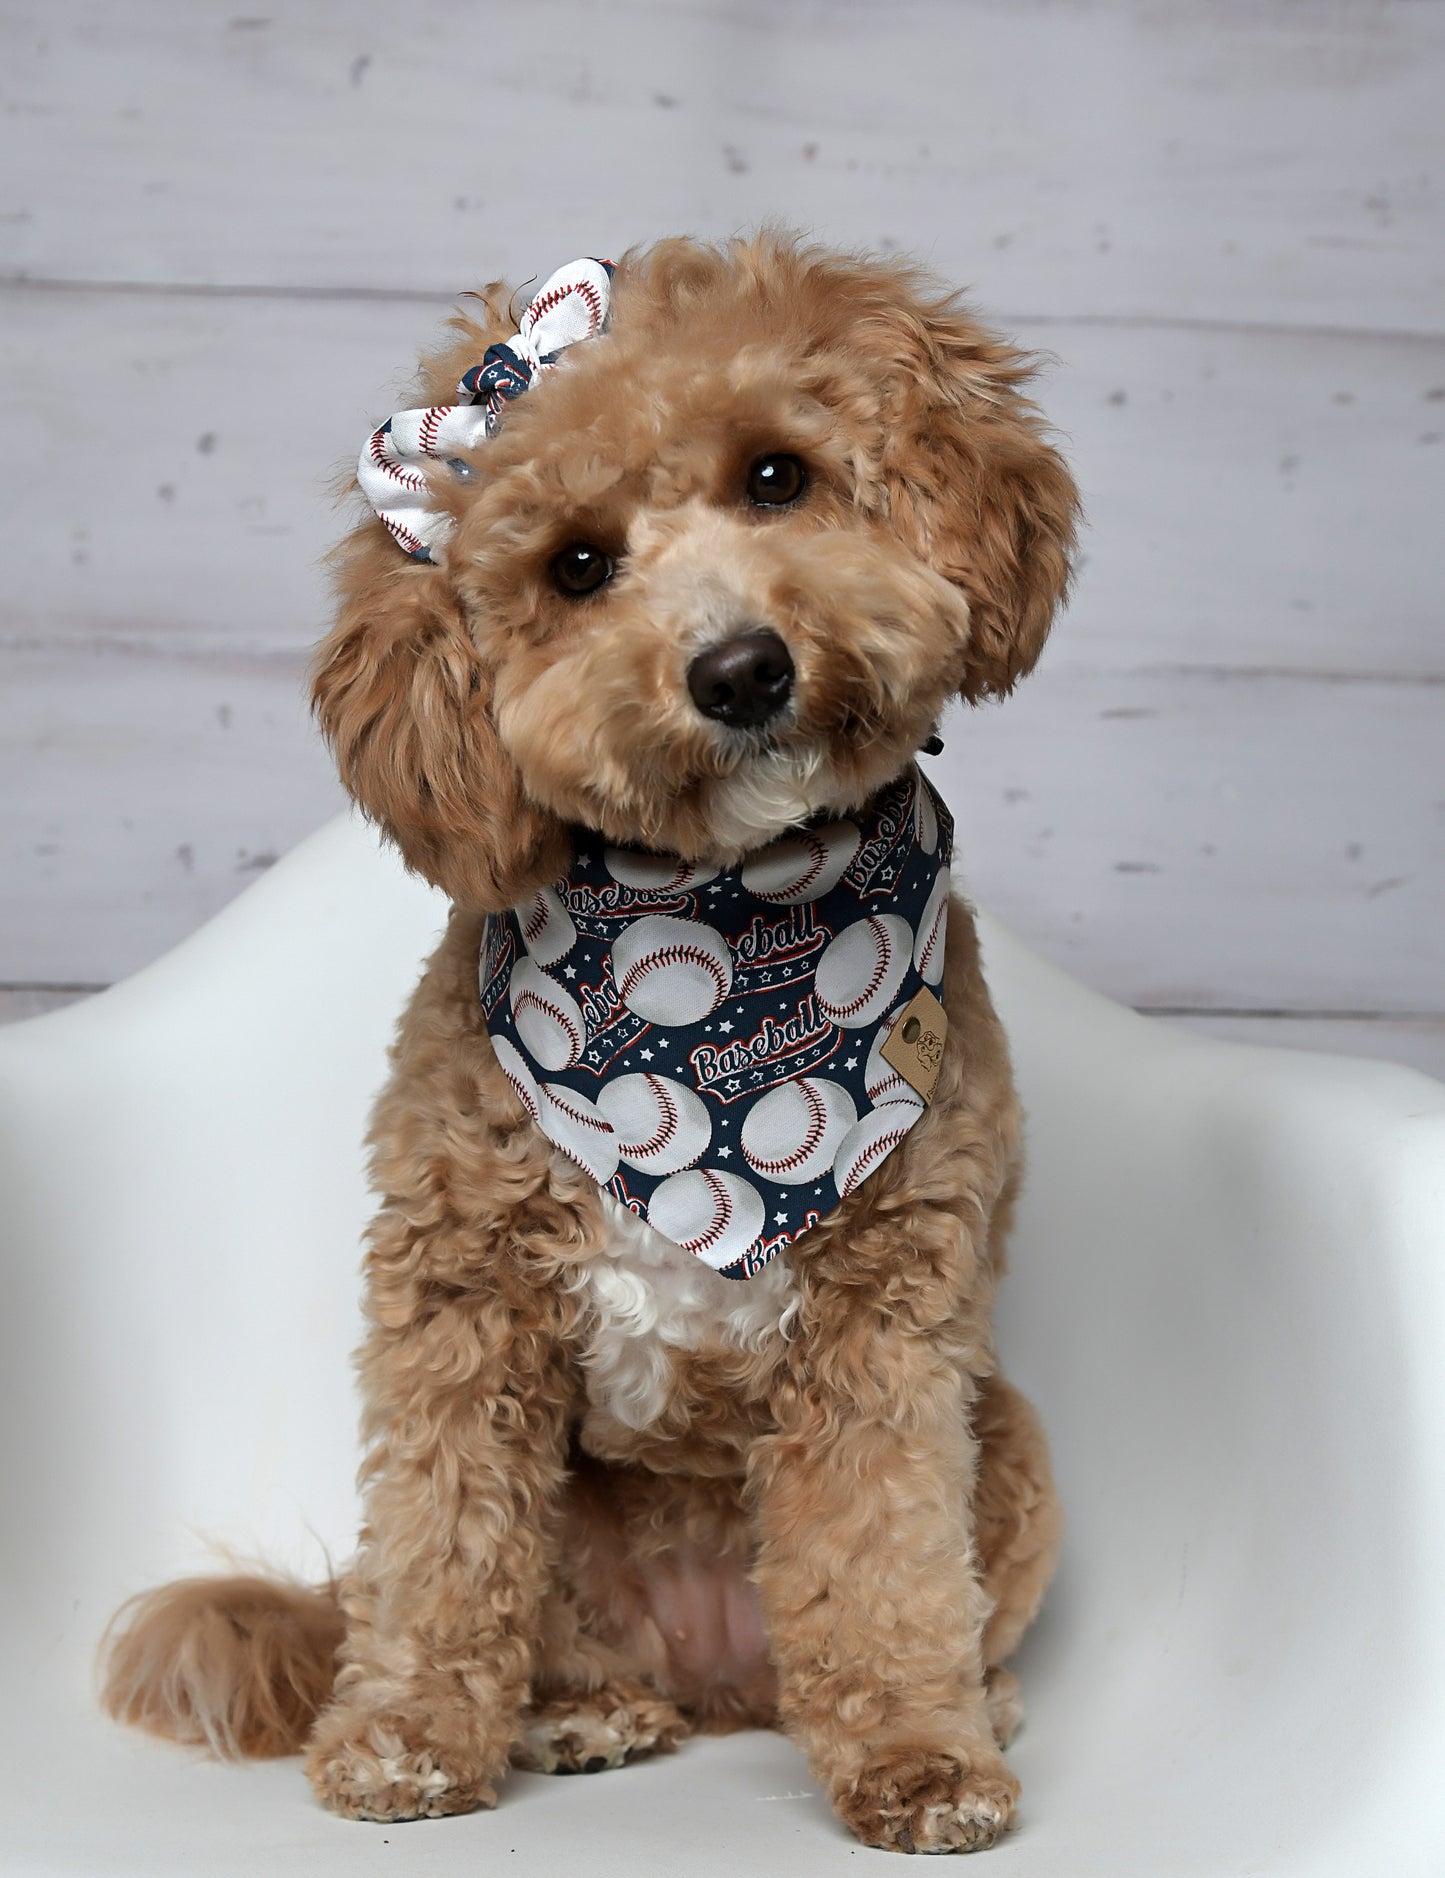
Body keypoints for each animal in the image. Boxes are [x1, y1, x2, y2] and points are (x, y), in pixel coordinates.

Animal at [104, 230, 1067, 1847]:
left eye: (776, 476)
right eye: (576, 566)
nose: (739, 669)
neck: (728, 950)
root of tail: (725, 1679)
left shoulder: (885, 1328)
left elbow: (882, 1552)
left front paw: (918, 1755)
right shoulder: (457, 1301)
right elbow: (438, 1540)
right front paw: (406, 1736)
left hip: (1012, 1446)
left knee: (918, 1600)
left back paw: (968, 1702)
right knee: (533, 1622)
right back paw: (577, 1713)